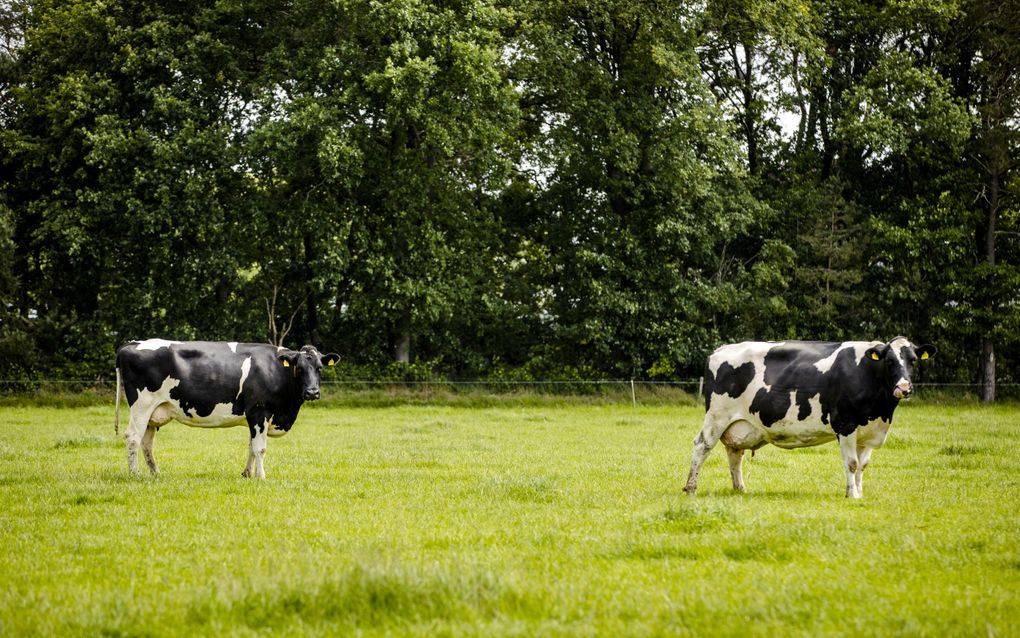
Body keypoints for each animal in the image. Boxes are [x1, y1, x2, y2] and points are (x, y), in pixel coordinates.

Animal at [114, 339, 339, 479]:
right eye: (299, 368)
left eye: (319, 368)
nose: (312, 392)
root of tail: (130, 344)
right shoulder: (259, 411)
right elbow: (260, 448)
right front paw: (262, 477)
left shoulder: (254, 416)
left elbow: (251, 446)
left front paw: (248, 474)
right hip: (142, 405)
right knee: (133, 437)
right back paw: (135, 474)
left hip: (154, 412)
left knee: (147, 443)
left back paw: (155, 474)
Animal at [683, 337, 935, 498]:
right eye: (889, 361)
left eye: (913, 360)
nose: (904, 387)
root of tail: (720, 349)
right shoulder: (845, 424)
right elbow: (852, 464)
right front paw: (851, 495)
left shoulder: (869, 431)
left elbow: (862, 466)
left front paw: (859, 493)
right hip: (717, 416)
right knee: (701, 446)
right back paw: (691, 488)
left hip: (739, 424)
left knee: (735, 453)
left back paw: (740, 489)